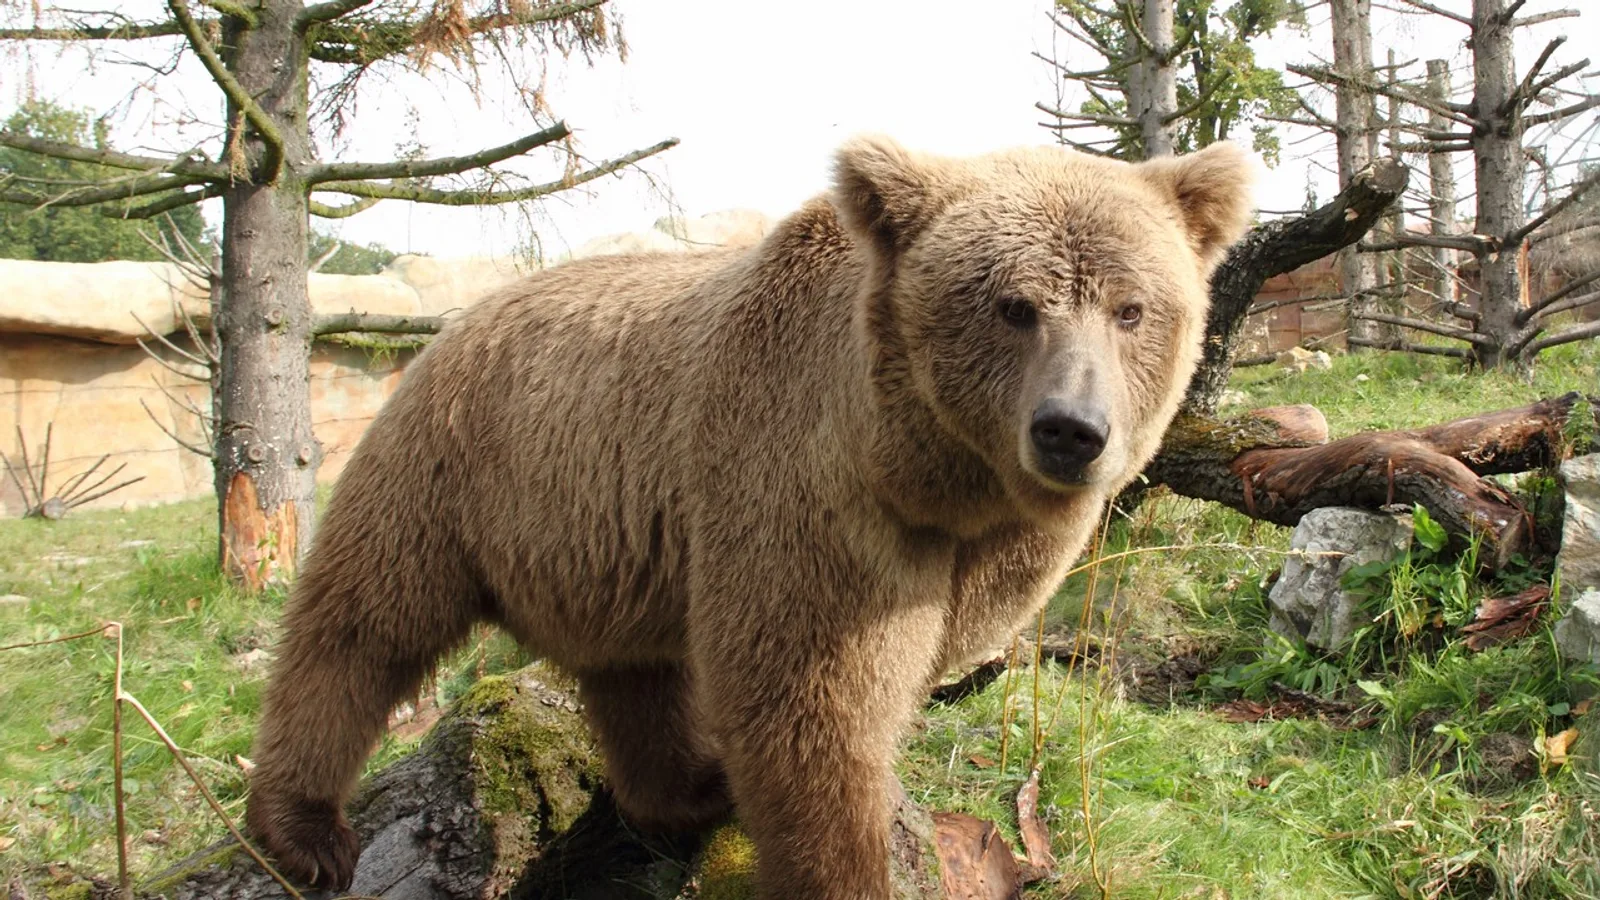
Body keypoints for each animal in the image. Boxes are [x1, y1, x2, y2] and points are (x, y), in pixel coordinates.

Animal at [245, 136, 1255, 898]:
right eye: (1014, 306)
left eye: (1132, 309)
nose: (1071, 431)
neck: (925, 473)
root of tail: (458, 318)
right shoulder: (806, 491)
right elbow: (809, 705)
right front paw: (848, 869)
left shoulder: (977, 542)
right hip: (451, 468)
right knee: (363, 624)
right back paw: (305, 828)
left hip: (598, 547)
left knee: (634, 675)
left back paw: (686, 791)